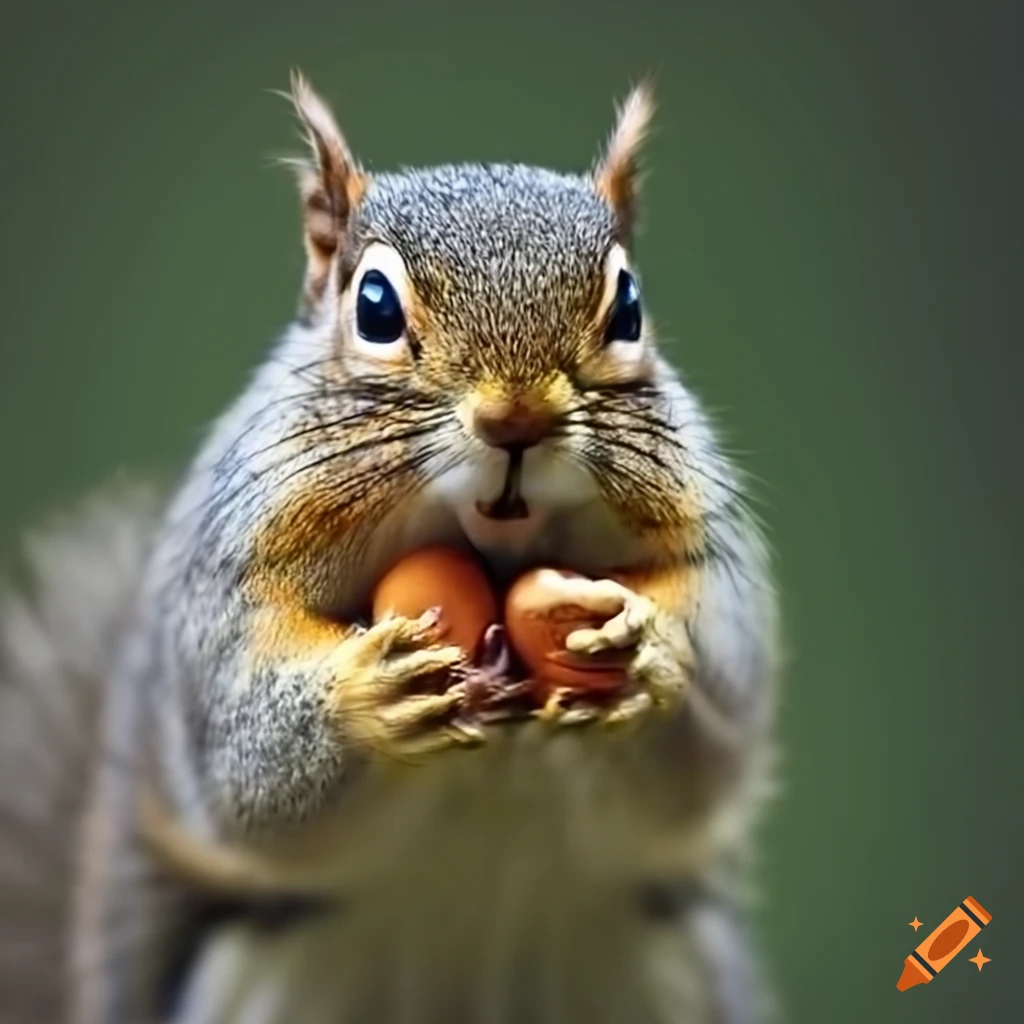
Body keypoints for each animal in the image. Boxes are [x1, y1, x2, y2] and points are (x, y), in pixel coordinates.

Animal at [0, 72, 779, 1024]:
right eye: (372, 306)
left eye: (629, 307)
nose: (516, 418)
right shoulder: (226, 586)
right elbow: (243, 767)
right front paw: (369, 694)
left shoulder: (712, 565)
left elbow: (712, 747)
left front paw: (645, 649)